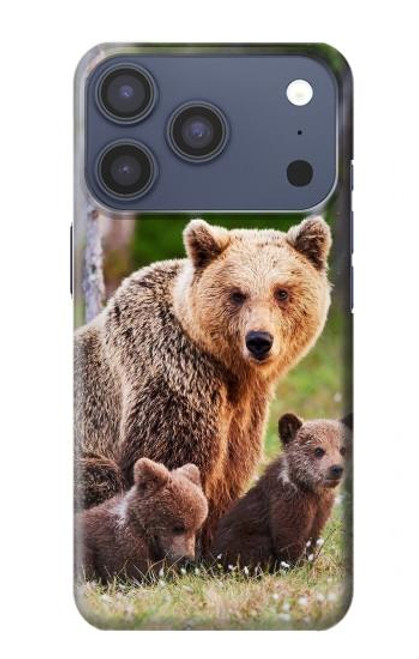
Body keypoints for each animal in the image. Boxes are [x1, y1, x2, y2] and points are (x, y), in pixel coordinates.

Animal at [74, 216, 332, 548]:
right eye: (237, 293)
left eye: (282, 292)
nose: (259, 340)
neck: (229, 370)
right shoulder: (173, 377)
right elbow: (174, 463)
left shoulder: (245, 411)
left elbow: (231, 471)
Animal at [212, 413, 351, 570]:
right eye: (319, 450)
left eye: (343, 449)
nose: (337, 469)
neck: (309, 488)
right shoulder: (288, 503)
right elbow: (289, 539)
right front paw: (295, 567)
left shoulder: (321, 509)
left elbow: (312, 538)